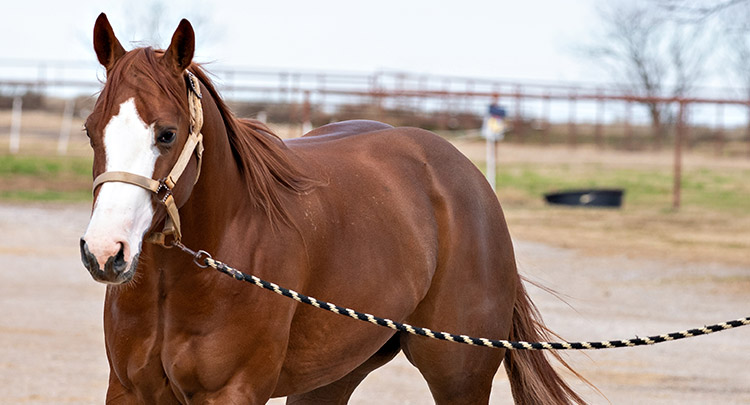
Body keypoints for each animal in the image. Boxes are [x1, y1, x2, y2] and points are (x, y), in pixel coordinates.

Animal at [79, 12, 592, 404]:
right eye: (90, 129)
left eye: (166, 133)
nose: (105, 252)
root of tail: (469, 178)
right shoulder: (128, 390)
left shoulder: (233, 392)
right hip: (331, 376)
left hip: (460, 377)